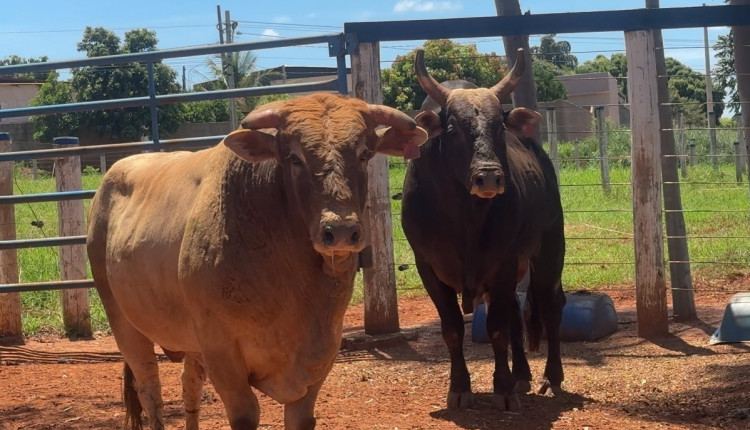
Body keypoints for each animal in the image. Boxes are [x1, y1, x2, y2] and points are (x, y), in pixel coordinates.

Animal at [86, 92, 428, 428]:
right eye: (294, 157)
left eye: (365, 153)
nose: (341, 230)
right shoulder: (222, 353)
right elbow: (244, 414)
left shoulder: (321, 355)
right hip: (125, 325)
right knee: (150, 390)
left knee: (189, 386)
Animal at [402, 48, 568, 412]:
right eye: (452, 128)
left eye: (499, 127)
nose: (489, 177)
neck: (465, 218)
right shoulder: (428, 267)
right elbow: (452, 329)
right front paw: (459, 387)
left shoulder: (503, 263)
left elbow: (496, 330)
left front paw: (502, 388)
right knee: (518, 313)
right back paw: (522, 374)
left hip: (549, 249)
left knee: (550, 306)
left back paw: (551, 377)